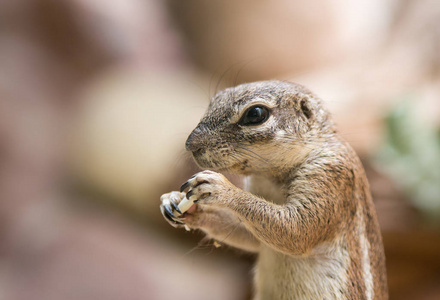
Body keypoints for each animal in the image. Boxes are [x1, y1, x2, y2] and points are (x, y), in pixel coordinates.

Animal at [160, 81, 386, 298]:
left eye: (255, 114)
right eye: (214, 100)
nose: (190, 144)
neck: (271, 178)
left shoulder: (330, 175)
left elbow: (297, 230)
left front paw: (220, 188)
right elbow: (250, 236)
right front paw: (177, 203)